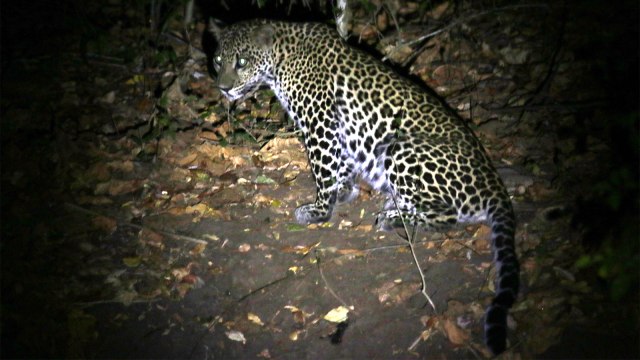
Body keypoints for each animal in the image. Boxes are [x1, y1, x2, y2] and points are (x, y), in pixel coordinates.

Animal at [210, 19, 520, 354]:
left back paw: (392, 218)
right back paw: (392, 206)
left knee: (449, 215)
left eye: (242, 61)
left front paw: (320, 211)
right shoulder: (338, 129)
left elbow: (323, 167)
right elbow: (341, 163)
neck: (281, 57)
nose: (223, 88)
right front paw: (344, 192)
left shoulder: (319, 123)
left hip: (401, 148)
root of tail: (492, 181)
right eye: (218, 60)